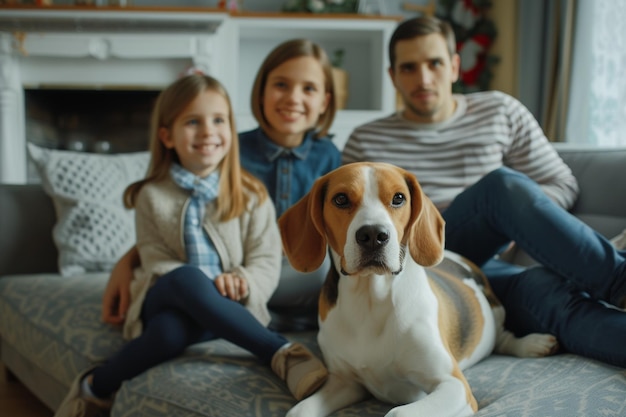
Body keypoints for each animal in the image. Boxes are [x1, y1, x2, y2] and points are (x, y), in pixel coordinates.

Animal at [278, 162, 556, 416]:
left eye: (398, 198)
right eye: (341, 199)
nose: (373, 235)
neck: (370, 299)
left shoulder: (453, 385)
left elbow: (398, 412)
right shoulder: (345, 383)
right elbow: (298, 411)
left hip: (496, 310)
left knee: (503, 337)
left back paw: (533, 343)